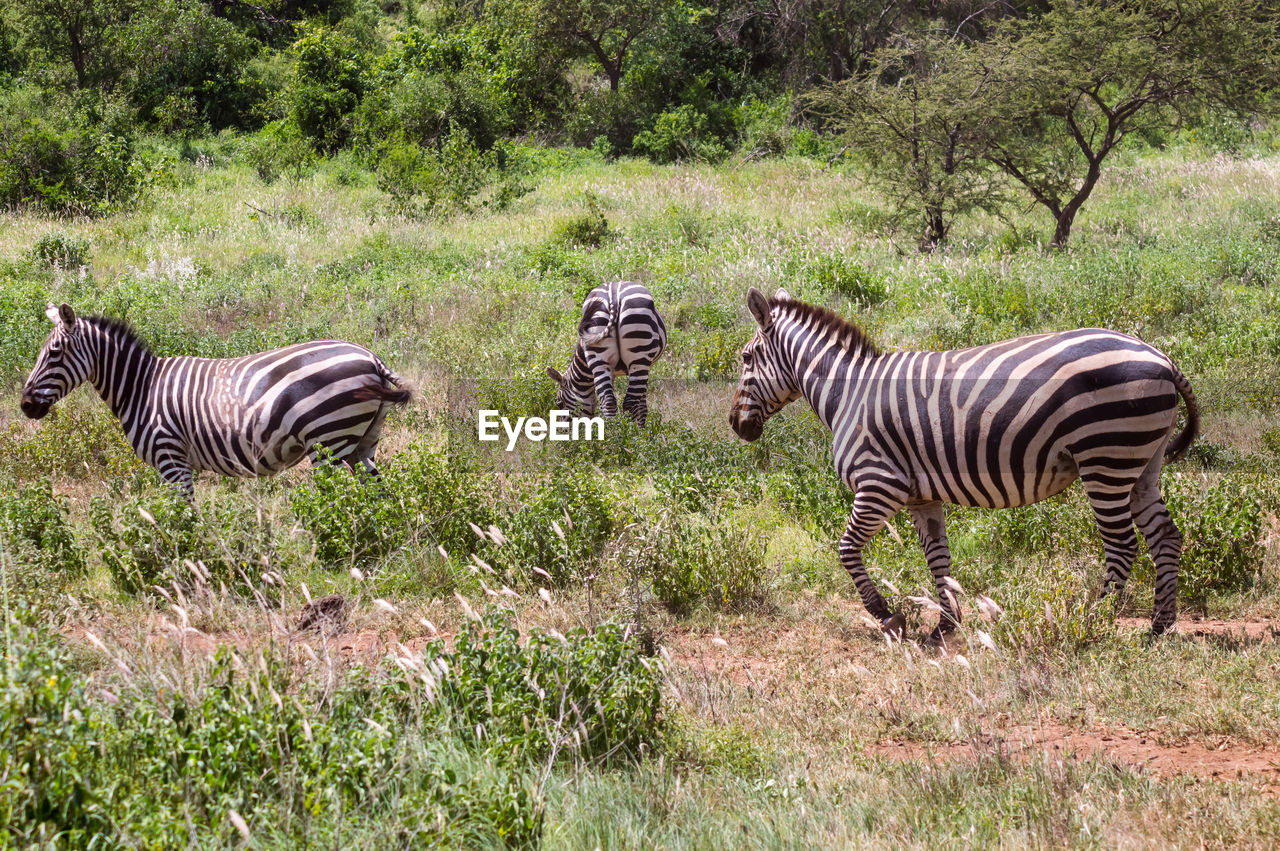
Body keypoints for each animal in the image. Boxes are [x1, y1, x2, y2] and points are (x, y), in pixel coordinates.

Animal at [20, 303, 412, 499]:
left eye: (54, 353)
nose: (25, 405)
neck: (140, 387)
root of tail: (372, 359)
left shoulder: (171, 459)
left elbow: (183, 516)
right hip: (362, 442)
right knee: (379, 494)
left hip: (327, 443)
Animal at [547, 280, 670, 424]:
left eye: (559, 403)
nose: (563, 430)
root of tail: (614, 299)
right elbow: (641, 406)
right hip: (638, 358)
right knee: (628, 403)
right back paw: (628, 430)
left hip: (600, 356)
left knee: (609, 403)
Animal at [732, 286, 1198, 637]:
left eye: (746, 358)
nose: (737, 425)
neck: (848, 391)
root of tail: (1161, 356)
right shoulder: (920, 495)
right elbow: (938, 557)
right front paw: (946, 624)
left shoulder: (879, 484)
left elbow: (846, 549)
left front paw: (887, 614)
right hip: (1141, 462)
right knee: (1165, 537)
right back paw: (1159, 627)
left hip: (1106, 458)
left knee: (1122, 544)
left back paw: (1093, 623)